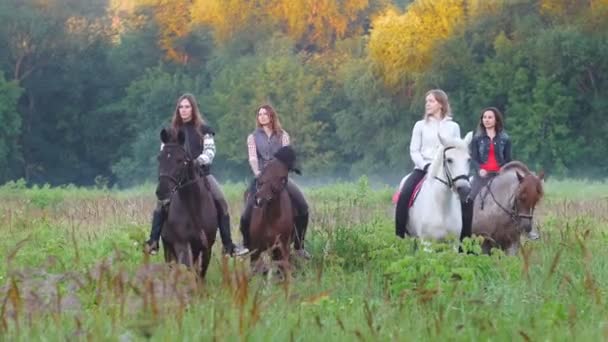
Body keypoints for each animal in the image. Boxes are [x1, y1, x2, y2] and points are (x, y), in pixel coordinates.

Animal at [156, 128, 217, 278]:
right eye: (159, 158)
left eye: (180, 160)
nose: (162, 191)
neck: (193, 207)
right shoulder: (181, 245)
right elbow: (188, 268)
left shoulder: (206, 247)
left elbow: (200, 274)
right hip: (168, 248)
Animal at [247, 146, 300, 276]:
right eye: (263, 171)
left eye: (283, 178)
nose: (260, 199)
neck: (271, 219)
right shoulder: (255, 249)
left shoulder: (282, 247)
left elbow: (285, 269)